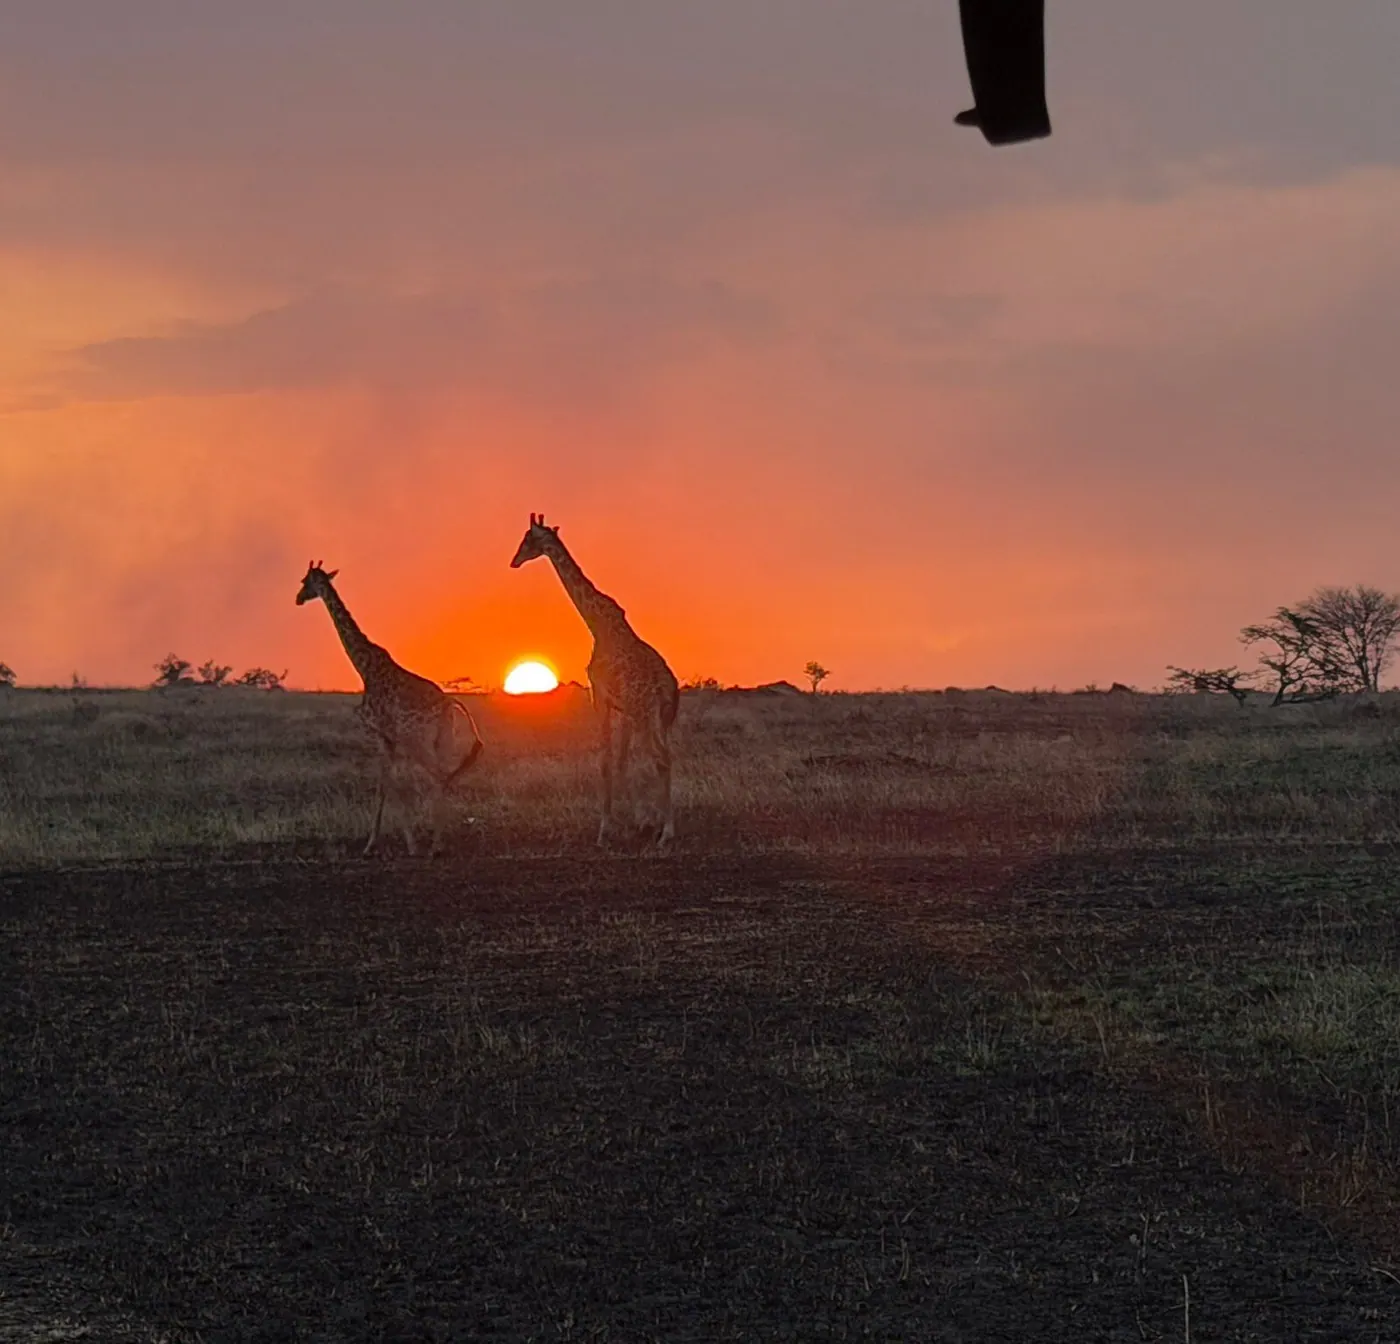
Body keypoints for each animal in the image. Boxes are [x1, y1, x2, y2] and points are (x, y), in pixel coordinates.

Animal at [295, 562, 483, 856]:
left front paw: (383, 844)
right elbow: (394, 784)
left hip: (418, 741)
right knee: (446, 775)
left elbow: (387, 784)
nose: (298, 598)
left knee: (439, 776)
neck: (364, 667)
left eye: (305, 581)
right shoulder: (393, 740)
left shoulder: (381, 734)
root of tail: (448, 703)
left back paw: (434, 846)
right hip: (443, 740)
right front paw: (397, 840)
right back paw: (440, 840)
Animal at [509, 515, 679, 850]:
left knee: (661, 759)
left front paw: (605, 830)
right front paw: (639, 821)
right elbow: (622, 760)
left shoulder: (599, 697)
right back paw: (660, 825)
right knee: (666, 756)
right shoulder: (623, 708)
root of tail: (667, 688)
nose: (514, 561)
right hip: (661, 718)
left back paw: (667, 833)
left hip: (646, 715)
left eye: (527, 539)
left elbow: (605, 760)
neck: (596, 624)